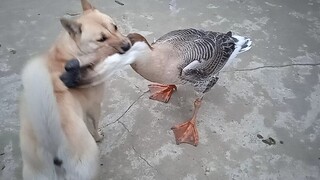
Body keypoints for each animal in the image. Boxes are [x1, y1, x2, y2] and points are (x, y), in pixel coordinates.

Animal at [18, 0, 131, 179]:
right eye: (101, 39)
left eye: (115, 26)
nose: (127, 45)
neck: (72, 51)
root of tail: (51, 142)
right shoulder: (94, 107)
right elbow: (94, 124)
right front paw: (98, 136)